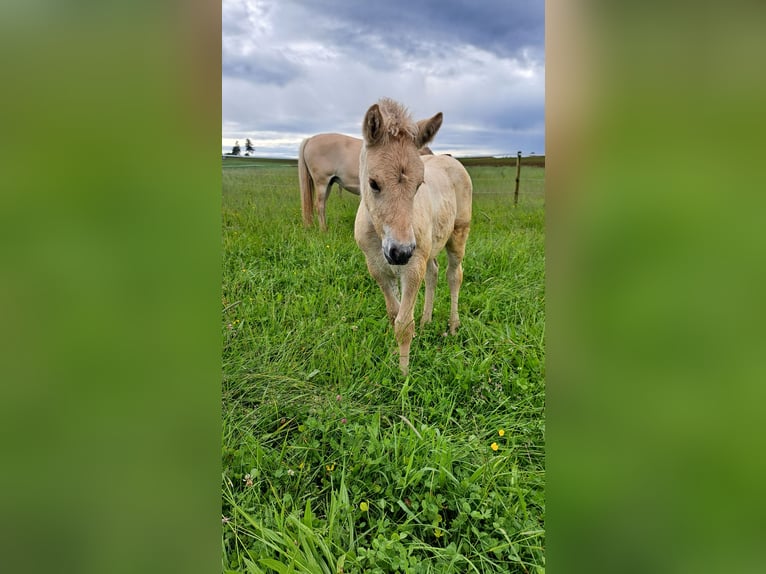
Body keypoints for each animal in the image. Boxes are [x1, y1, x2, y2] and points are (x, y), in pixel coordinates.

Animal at [356, 99, 474, 378]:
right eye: (373, 183)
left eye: (420, 184)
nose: (400, 252)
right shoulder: (378, 268)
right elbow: (394, 313)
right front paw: (395, 357)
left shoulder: (412, 266)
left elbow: (403, 322)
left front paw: (403, 374)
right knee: (433, 272)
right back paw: (426, 320)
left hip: (457, 234)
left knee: (454, 275)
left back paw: (453, 326)